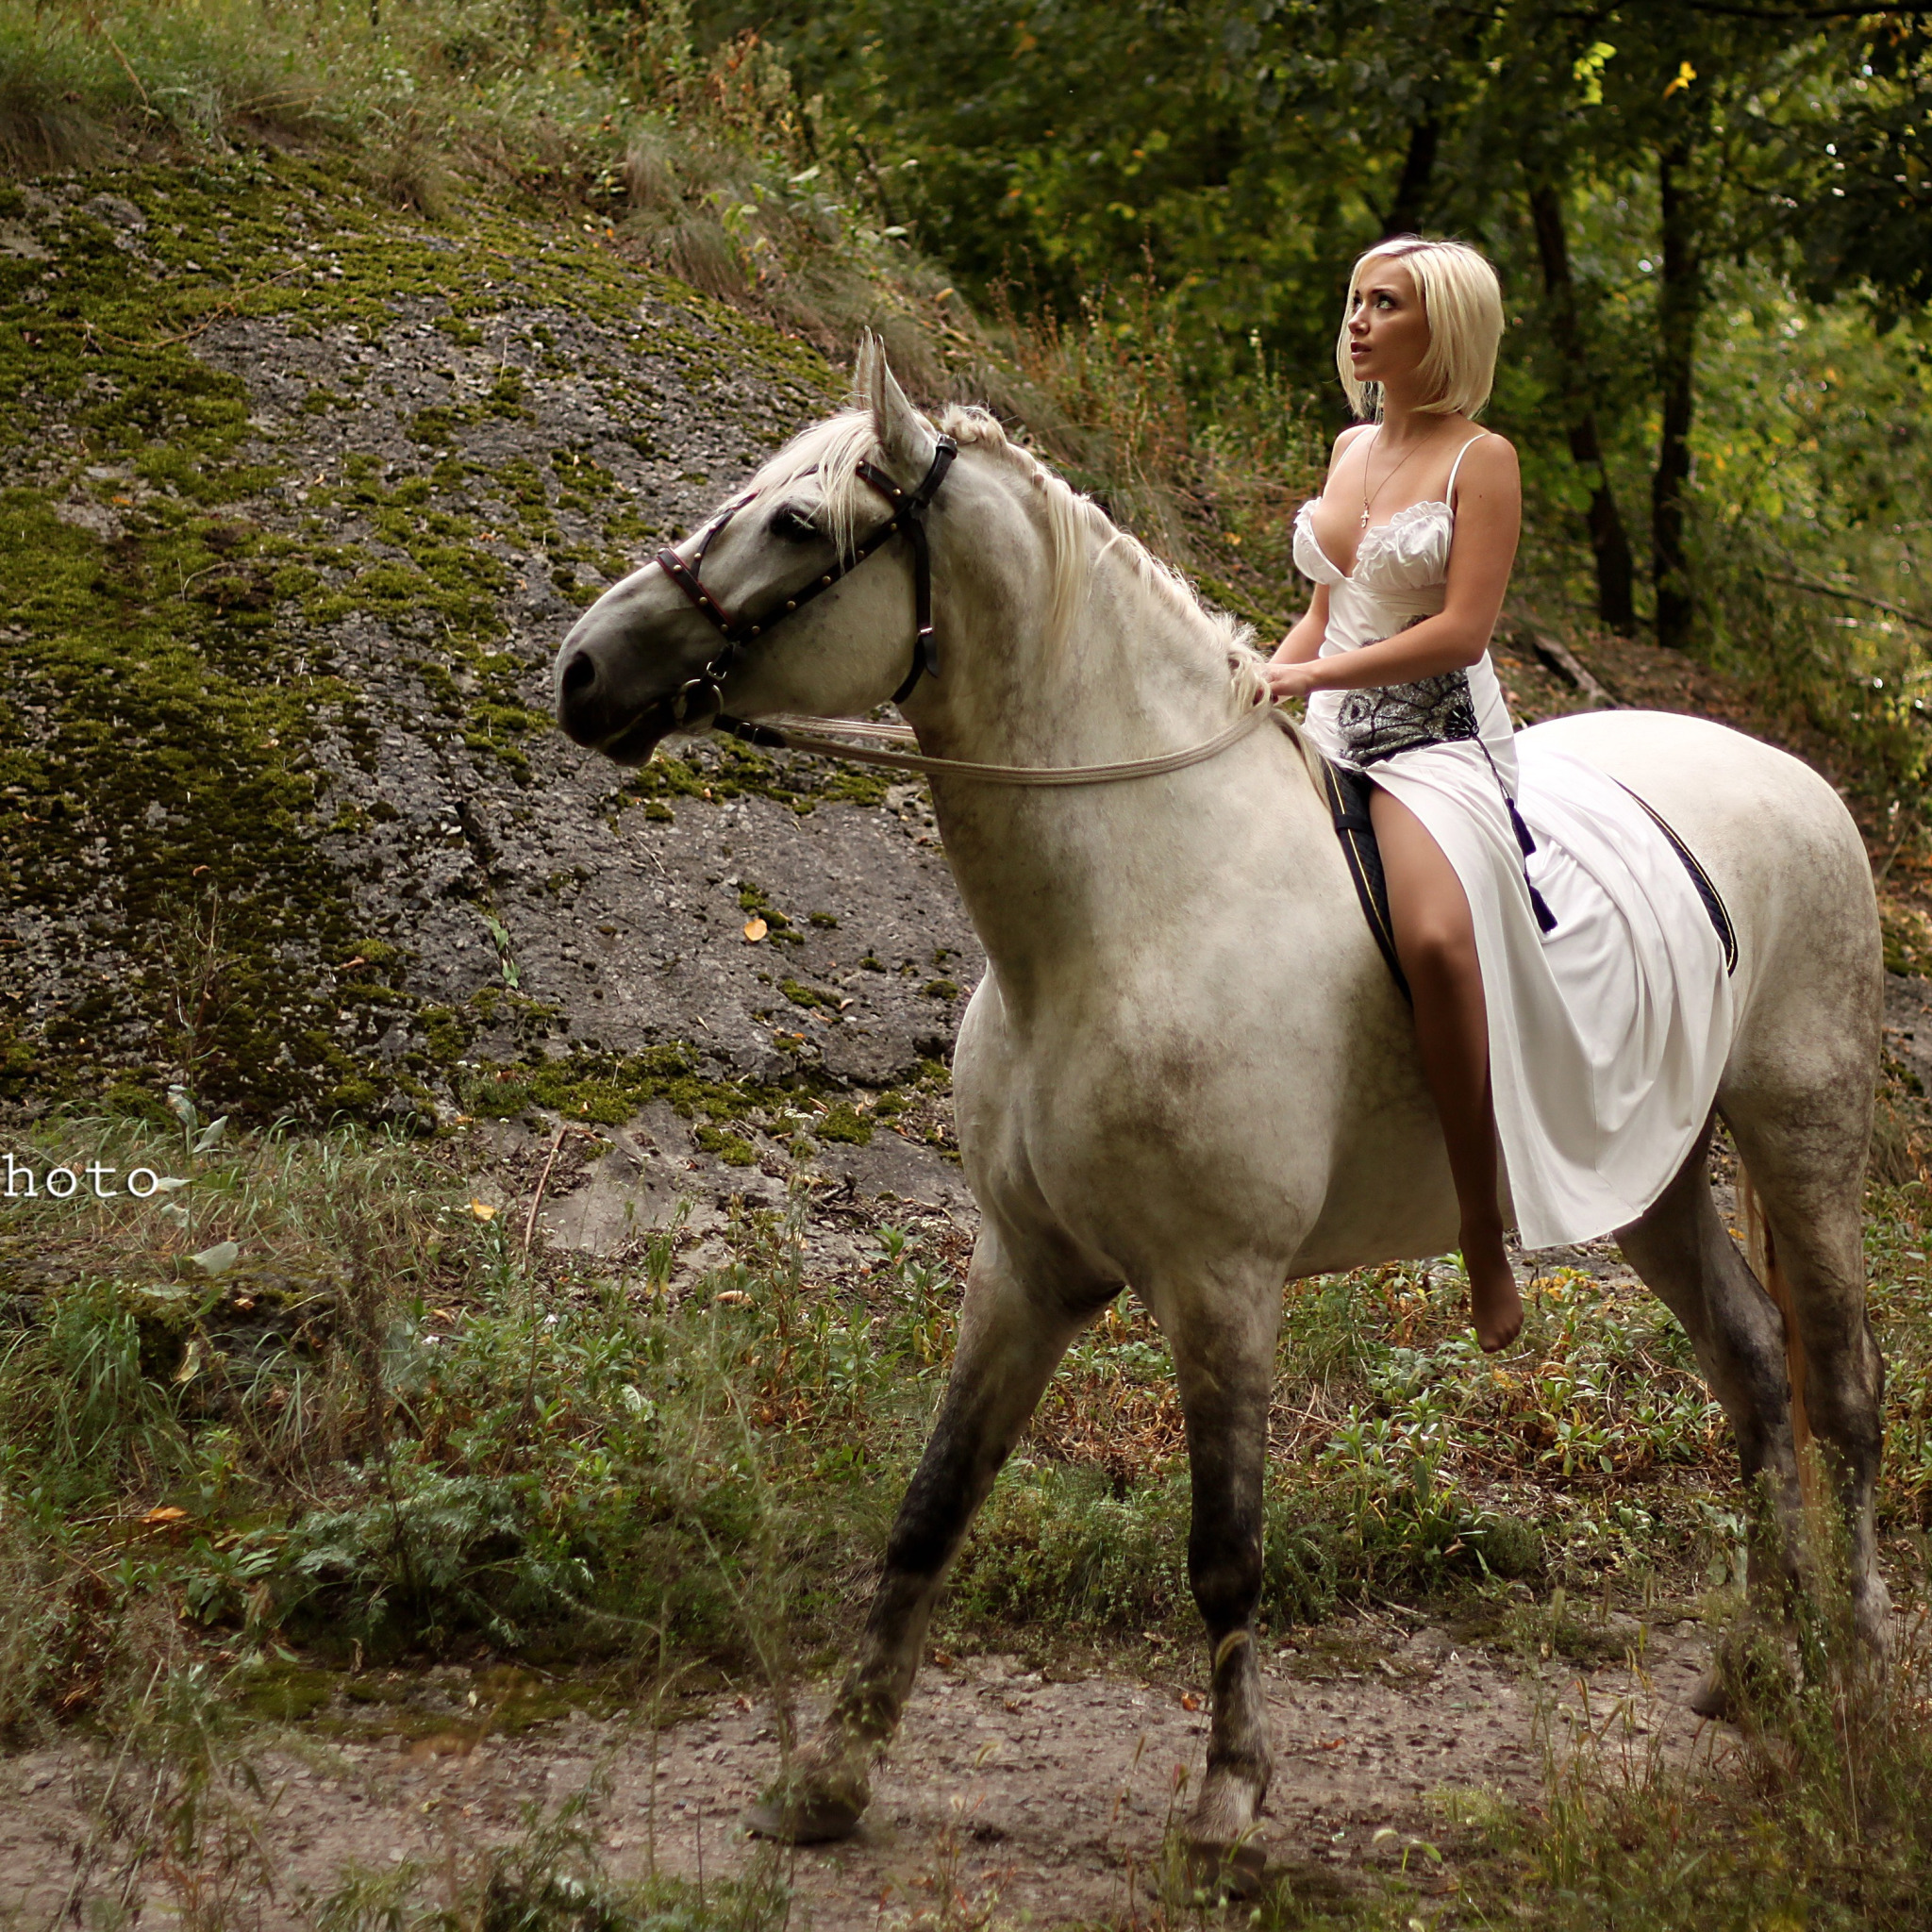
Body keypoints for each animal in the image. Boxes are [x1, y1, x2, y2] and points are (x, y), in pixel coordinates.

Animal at [556, 340, 1885, 1862]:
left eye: (792, 524)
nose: (582, 668)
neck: (1129, 907)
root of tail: (1789, 776)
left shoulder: (1221, 1285)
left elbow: (1226, 1552)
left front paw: (1230, 1804)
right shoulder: (1022, 1268)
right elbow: (931, 1505)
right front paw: (829, 1775)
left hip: (1805, 1141)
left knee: (1843, 1388)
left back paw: (1858, 1670)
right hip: (1646, 1183)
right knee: (1753, 1364)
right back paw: (1758, 1663)